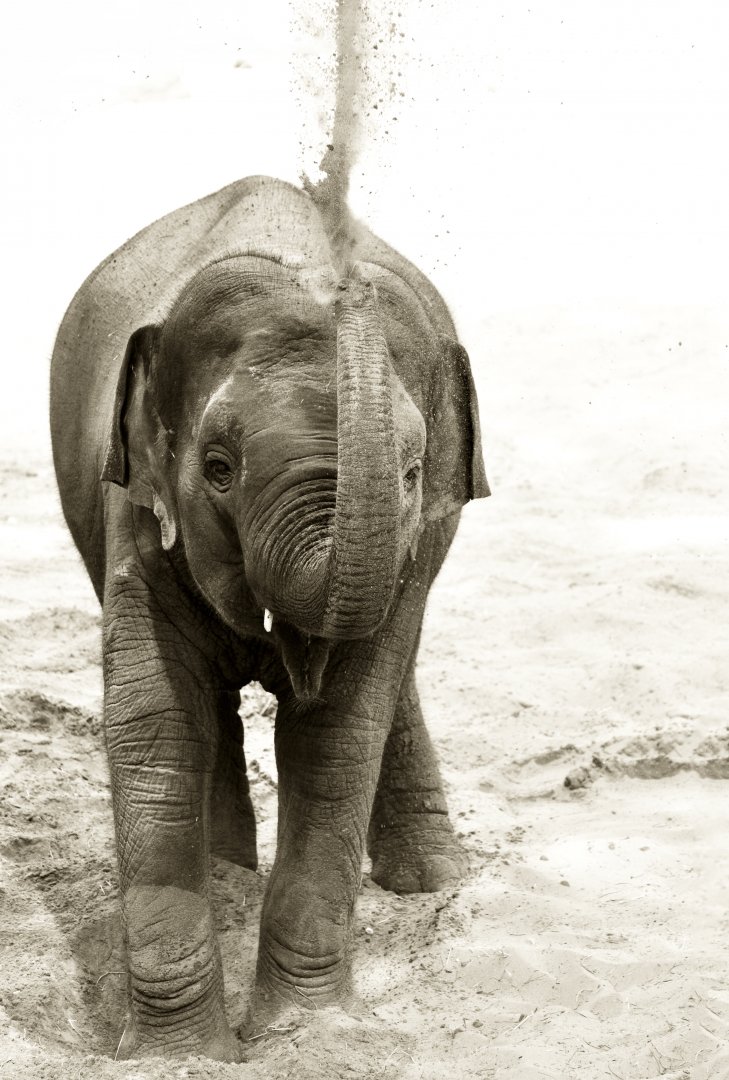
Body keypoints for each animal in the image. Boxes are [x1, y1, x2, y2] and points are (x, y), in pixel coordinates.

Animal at [50, 174, 489, 1061]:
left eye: (413, 473)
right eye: (218, 469)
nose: (333, 172)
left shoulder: (415, 542)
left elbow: (336, 735)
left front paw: (306, 1034)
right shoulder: (134, 513)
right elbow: (154, 723)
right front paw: (180, 1059)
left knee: (391, 686)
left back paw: (430, 882)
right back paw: (229, 874)